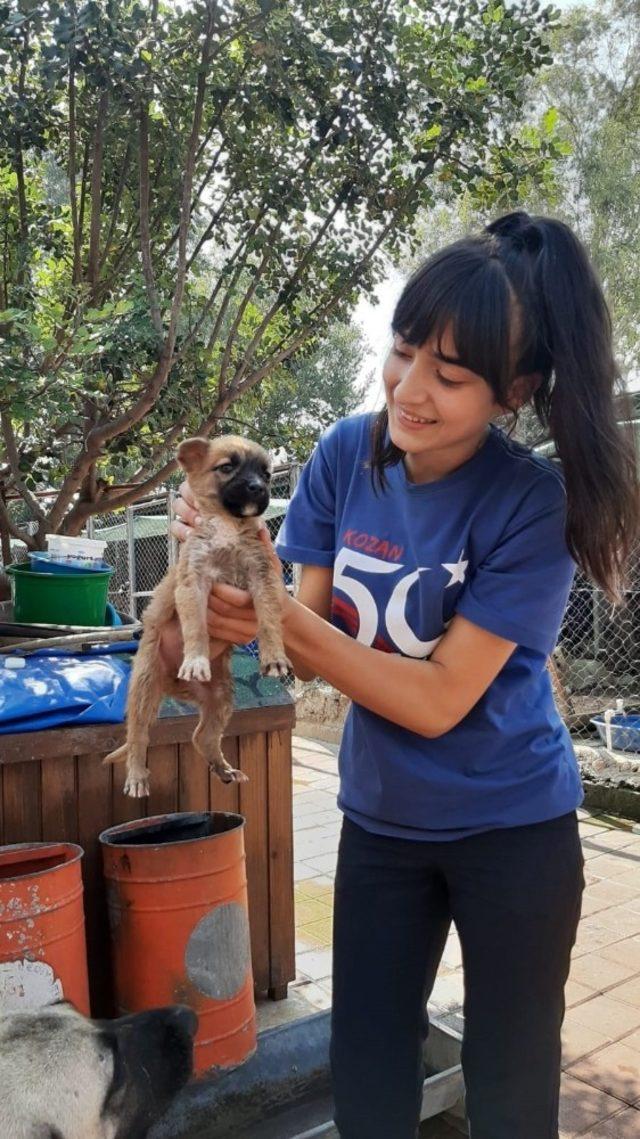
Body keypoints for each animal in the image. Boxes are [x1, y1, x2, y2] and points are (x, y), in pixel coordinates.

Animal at [104, 430, 289, 797]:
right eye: (227, 467)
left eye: (266, 474)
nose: (258, 489)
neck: (228, 525)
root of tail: (172, 685)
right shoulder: (193, 583)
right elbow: (196, 628)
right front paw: (196, 659)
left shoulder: (263, 578)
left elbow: (270, 620)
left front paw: (274, 657)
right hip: (143, 689)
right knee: (138, 737)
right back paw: (136, 776)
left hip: (220, 698)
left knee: (201, 736)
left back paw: (224, 769)